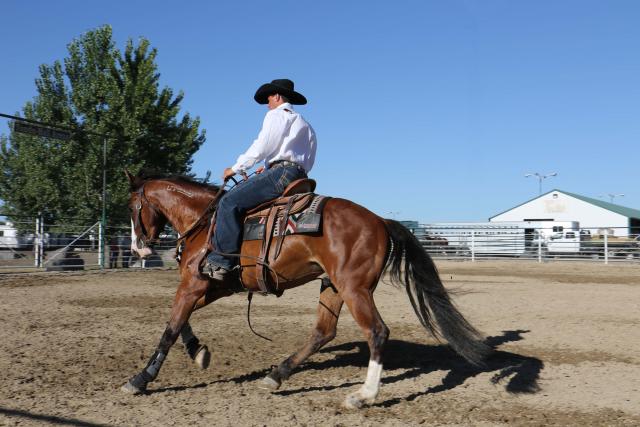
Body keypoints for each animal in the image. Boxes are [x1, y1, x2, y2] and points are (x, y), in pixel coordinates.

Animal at [121, 172, 490, 410]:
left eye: (131, 206)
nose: (138, 247)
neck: (203, 222)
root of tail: (380, 221)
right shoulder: (213, 286)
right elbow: (180, 321)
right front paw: (199, 352)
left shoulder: (194, 284)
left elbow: (170, 328)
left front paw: (141, 379)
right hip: (333, 287)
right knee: (323, 331)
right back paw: (276, 376)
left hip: (354, 288)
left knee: (376, 332)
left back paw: (362, 396)